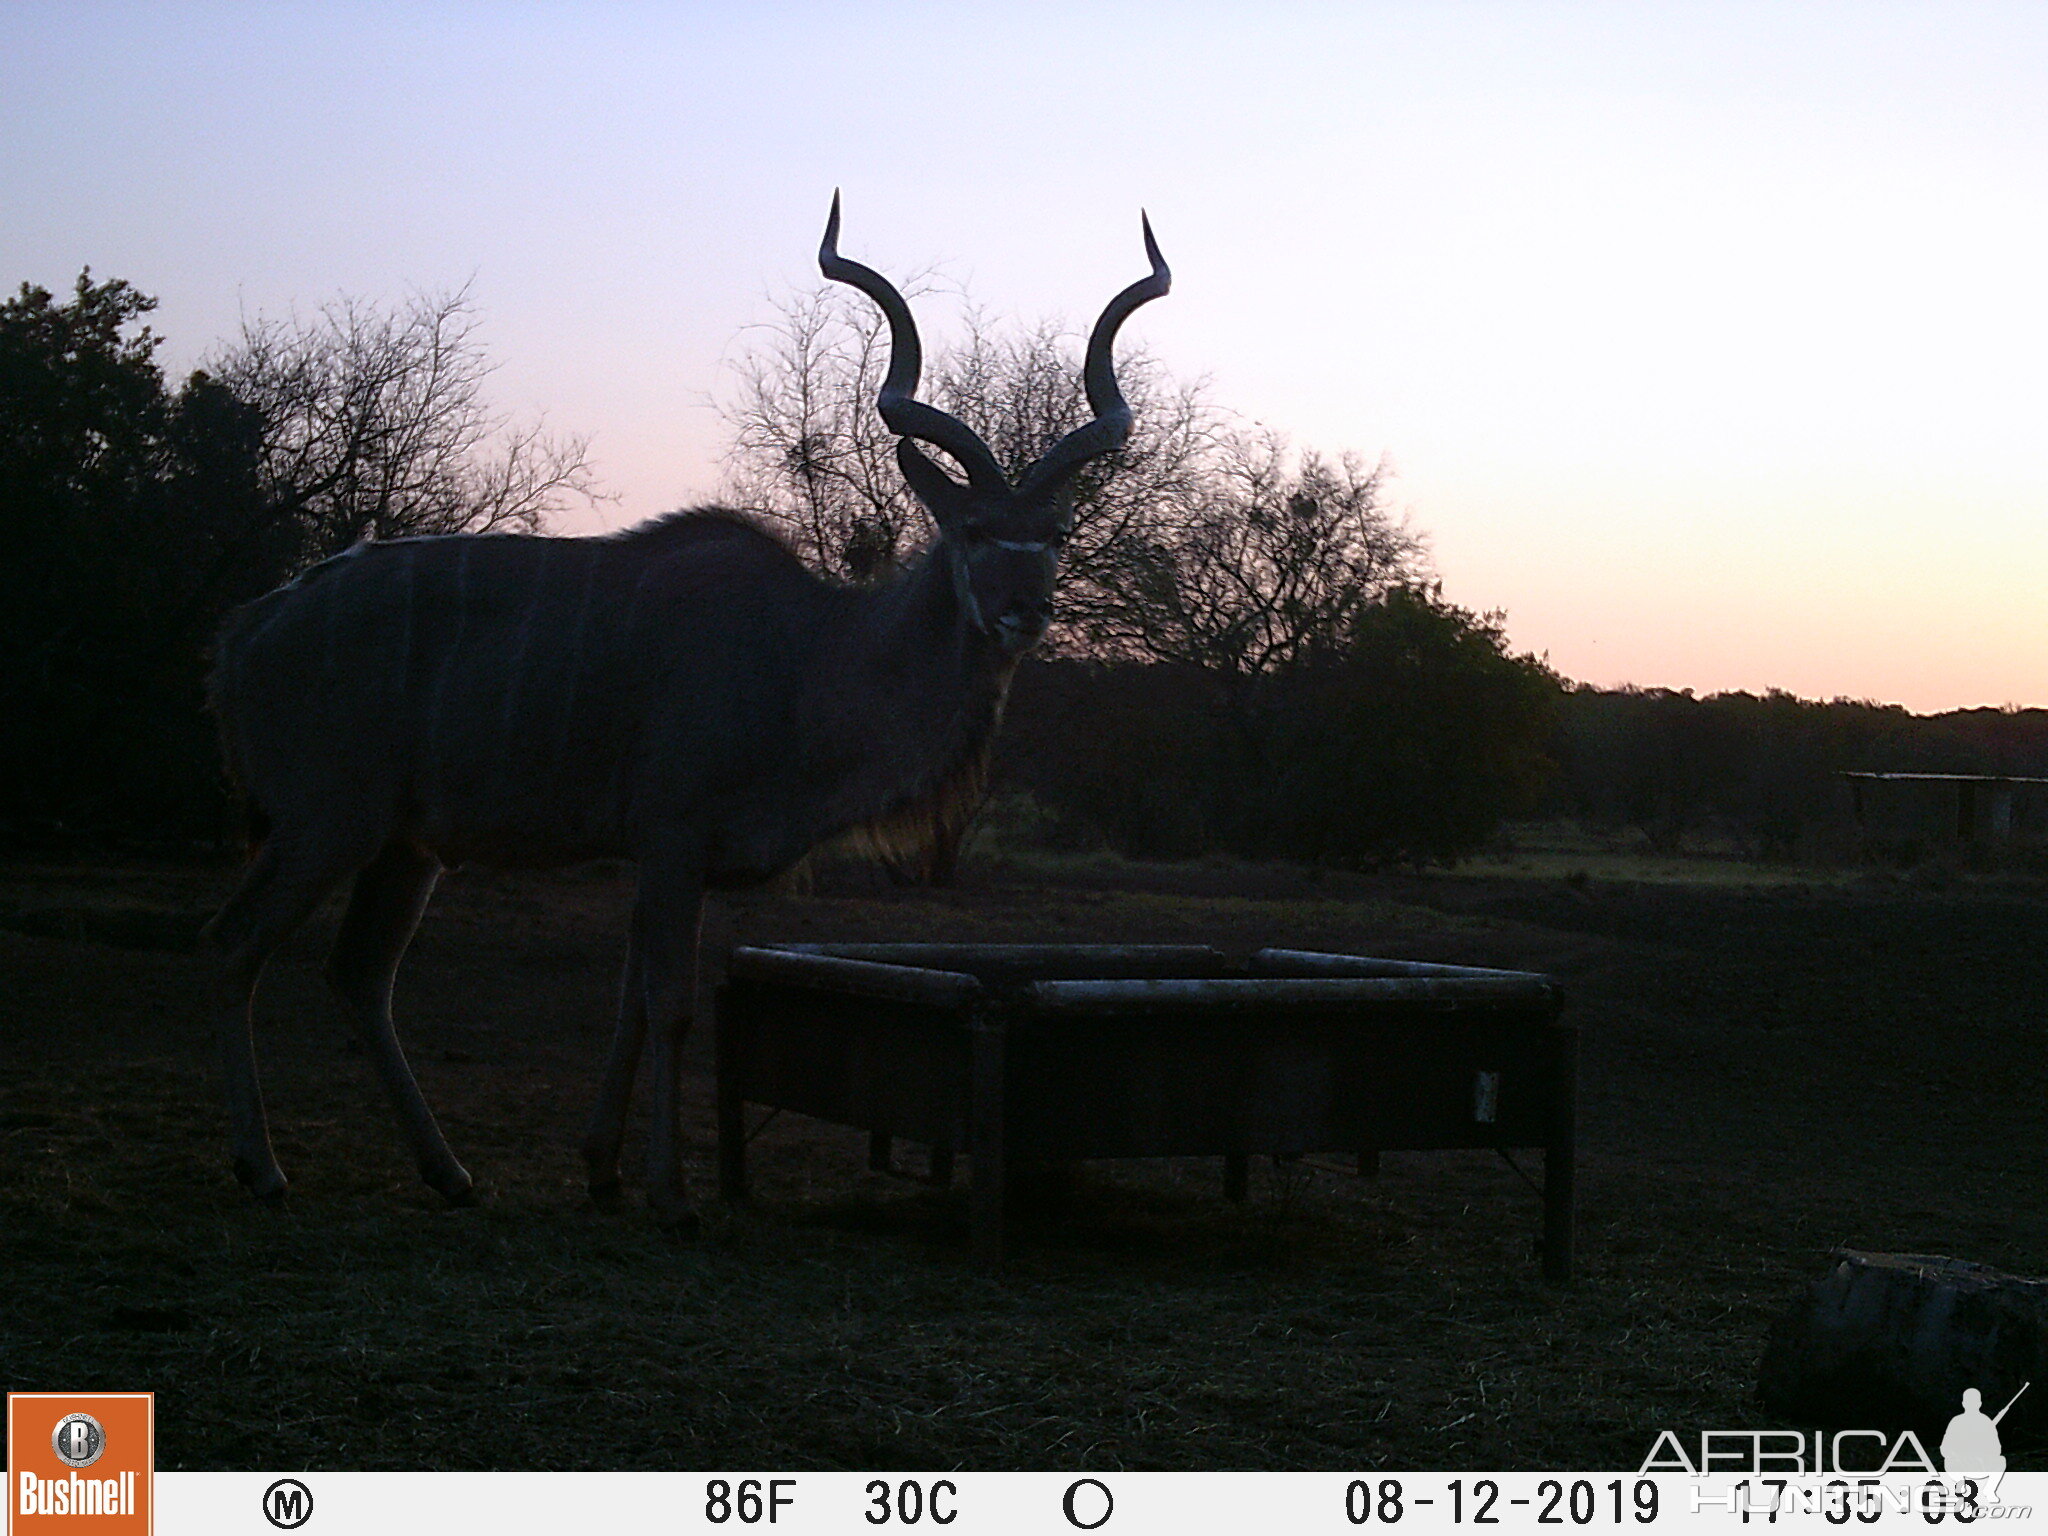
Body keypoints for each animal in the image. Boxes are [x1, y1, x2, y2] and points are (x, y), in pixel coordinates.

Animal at [207, 198, 1179, 1228]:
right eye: (972, 530)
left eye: (1057, 533)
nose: (1025, 609)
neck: (807, 655)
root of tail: (242, 632)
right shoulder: (673, 842)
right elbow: (671, 1005)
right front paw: (672, 1196)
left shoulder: (659, 859)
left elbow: (632, 1001)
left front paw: (604, 1170)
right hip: (327, 822)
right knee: (234, 946)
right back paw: (263, 1168)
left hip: (405, 844)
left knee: (359, 974)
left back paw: (448, 1172)